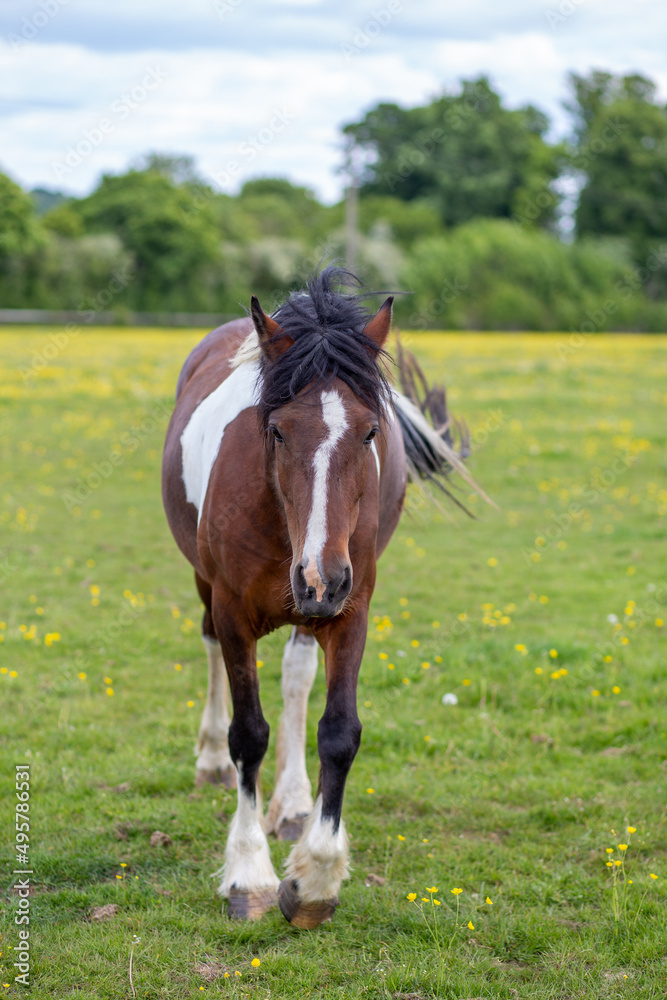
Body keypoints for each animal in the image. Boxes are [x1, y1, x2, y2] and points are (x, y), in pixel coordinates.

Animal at [162, 266, 474, 928]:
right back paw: (210, 761)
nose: (320, 575)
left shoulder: (351, 609)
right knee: (210, 650)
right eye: (277, 430)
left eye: (371, 431)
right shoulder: (234, 609)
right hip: (219, 586)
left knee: (297, 677)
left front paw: (316, 878)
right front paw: (248, 874)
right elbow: (249, 734)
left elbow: (339, 730)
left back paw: (294, 803)